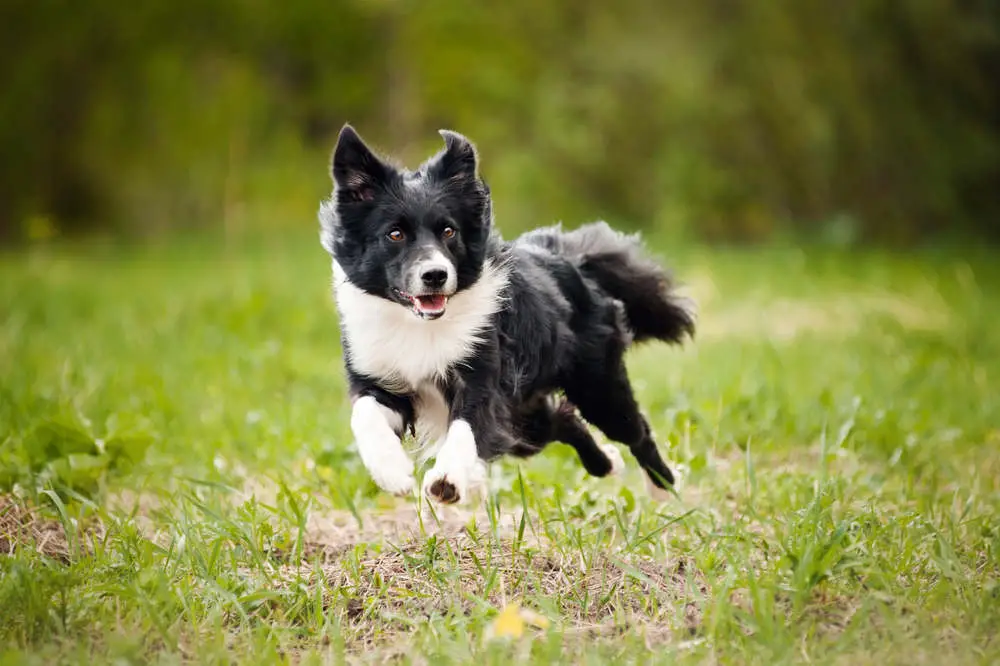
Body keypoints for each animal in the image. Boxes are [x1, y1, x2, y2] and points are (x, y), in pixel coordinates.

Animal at [320, 123, 696, 504]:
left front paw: (446, 480)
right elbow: (364, 414)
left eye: (448, 231)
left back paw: (663, 486)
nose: (435, 275)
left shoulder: (484, 374)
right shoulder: (379, 374)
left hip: (597, 386)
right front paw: (392, 472)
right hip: (526, 416)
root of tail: (569, 258)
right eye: (394, 234)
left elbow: (467, 426)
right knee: (561, 420)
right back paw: (607, 463)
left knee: (635, 429)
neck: (420, 325)